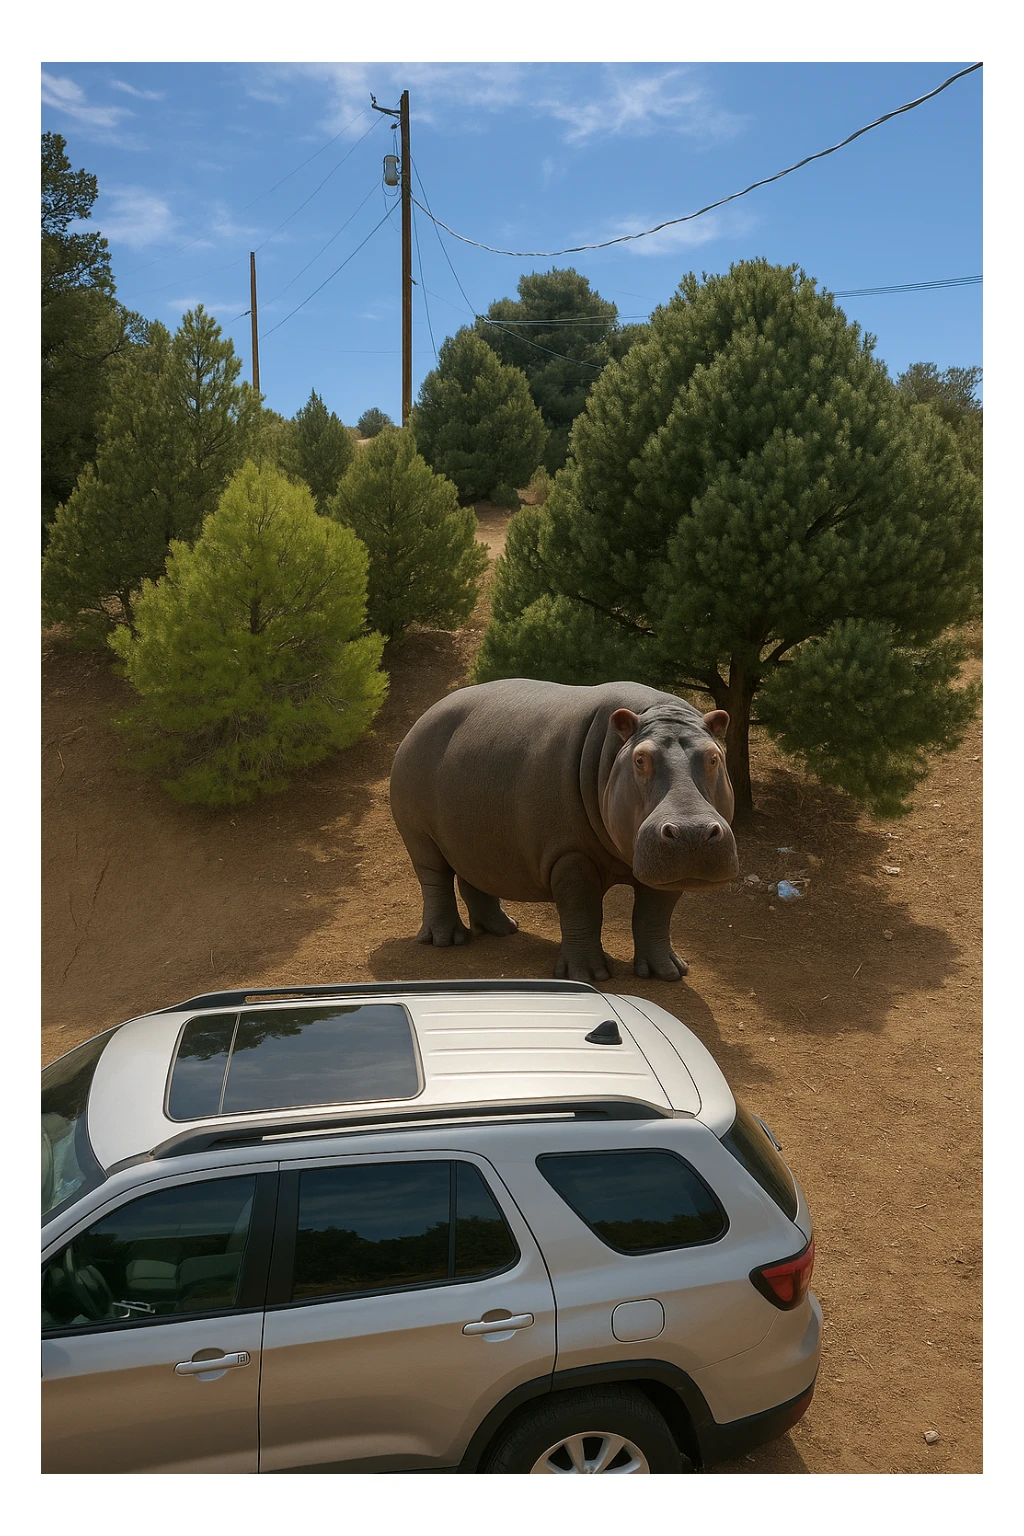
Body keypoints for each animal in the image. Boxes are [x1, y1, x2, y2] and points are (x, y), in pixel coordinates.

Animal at [389, 679, 738, 982]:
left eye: (713, 757)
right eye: (640, 759)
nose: (691, 832)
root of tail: (424, 716)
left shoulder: (666, 870)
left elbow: (655, 914)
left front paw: (669, 972)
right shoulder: (570, 855)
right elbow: (582, 911)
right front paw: (589, 976)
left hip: (475, 837)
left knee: (475, 877)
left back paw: (504, 928)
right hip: (420, 837)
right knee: (435, 880)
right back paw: (446, 940)